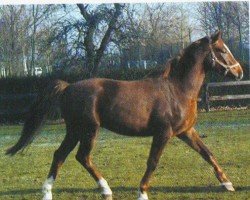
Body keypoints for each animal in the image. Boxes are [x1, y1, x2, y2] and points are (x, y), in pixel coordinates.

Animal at [5, 31, 243, 200]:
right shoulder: (163, 133)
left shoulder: (185, 131)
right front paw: (142, 193)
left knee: (60, 155)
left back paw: (48, 192)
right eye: (221, 50)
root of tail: (68, 87)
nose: (239, 71)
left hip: (74, 130)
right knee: (82, 157)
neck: (177, 90)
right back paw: (105, 190)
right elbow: (152, 162)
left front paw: (227, 183)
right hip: (88, 129)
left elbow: (207, 153)